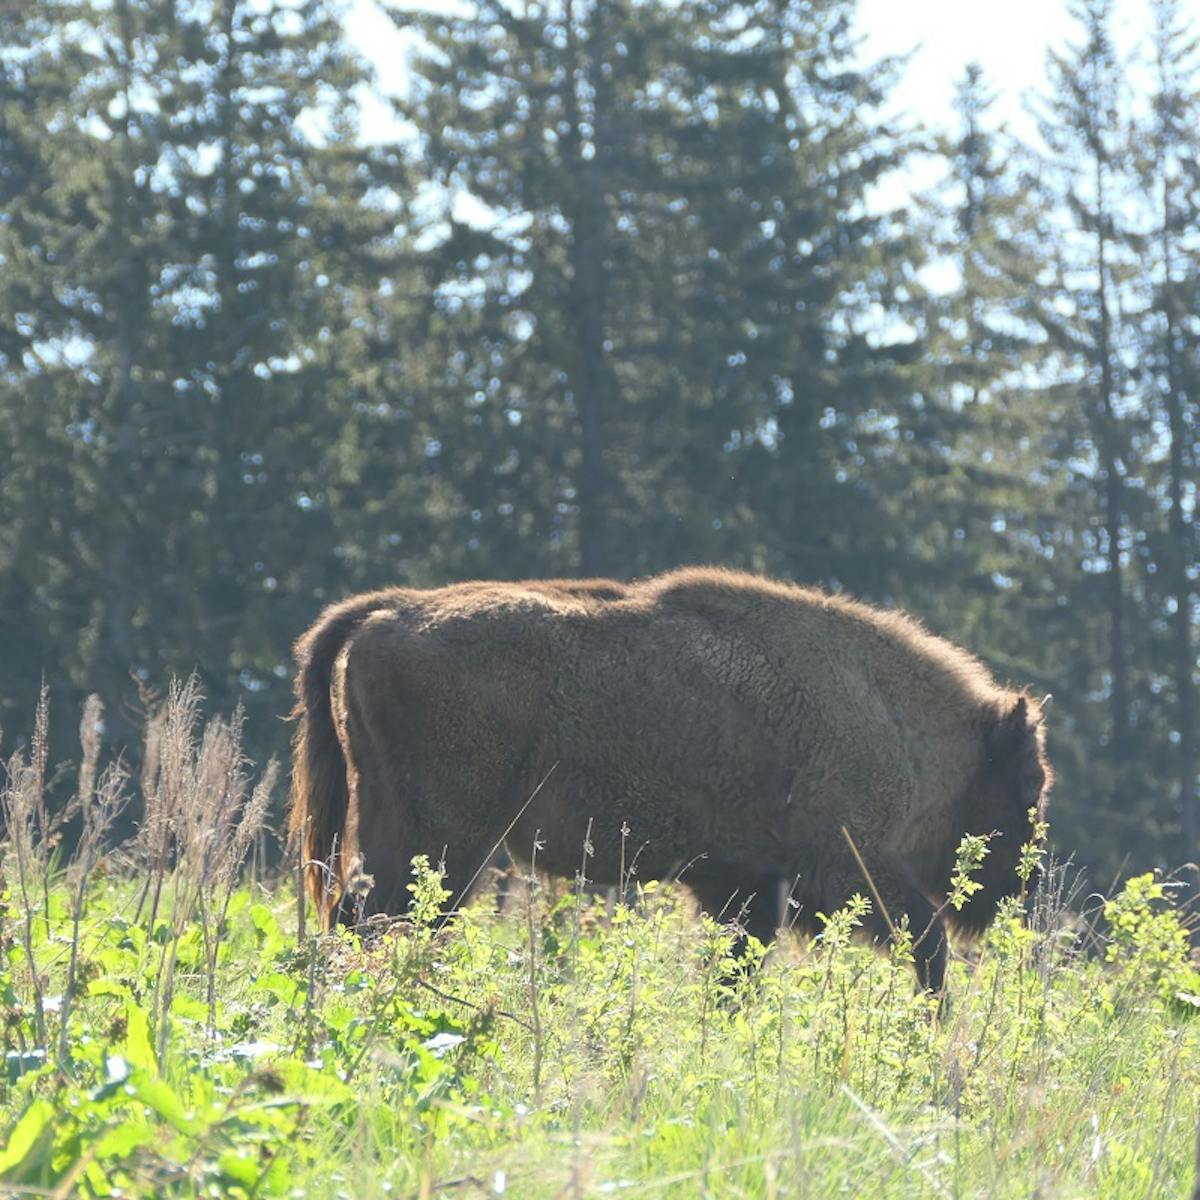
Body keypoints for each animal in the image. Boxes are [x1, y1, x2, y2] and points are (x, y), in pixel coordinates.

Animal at [288, 566, 1051, 988]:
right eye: (1030, 786)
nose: (1025, 884)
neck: (888, 710)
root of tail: (389, 611)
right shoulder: (843, 867)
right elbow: (928, 941)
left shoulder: (744, 885)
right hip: (447, 844)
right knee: (386, 922)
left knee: (357, 920)